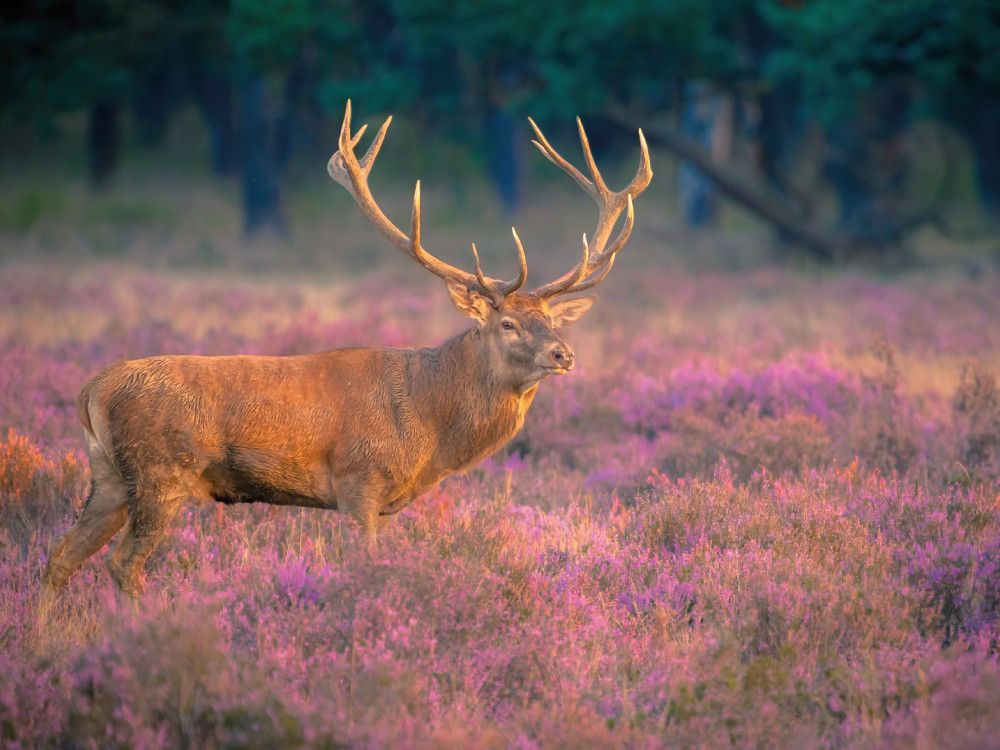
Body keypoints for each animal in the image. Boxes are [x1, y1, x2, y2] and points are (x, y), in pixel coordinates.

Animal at [41, 103, 648, 604]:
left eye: (550, 319)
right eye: (507, 322)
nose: (563, 354)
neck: (428, 423)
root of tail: (92, 389)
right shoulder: (359, 480)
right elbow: (367, 569)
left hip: (110, 475)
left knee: (60, 556)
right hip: (161, 472)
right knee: (123, 565)